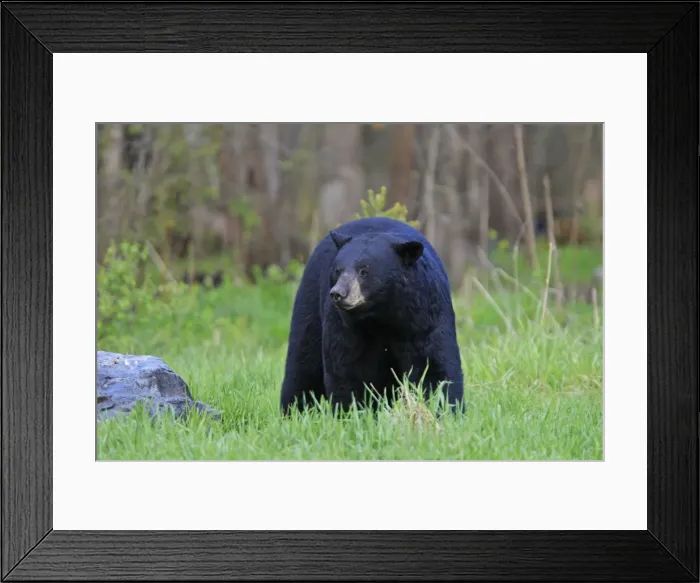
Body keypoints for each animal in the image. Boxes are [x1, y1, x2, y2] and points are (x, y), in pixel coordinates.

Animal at [279, 216, 464, 415]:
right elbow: (346, 369)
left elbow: (434, 366)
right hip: (310, 301)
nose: (338, 293)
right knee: (303, 362)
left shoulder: (424, 317)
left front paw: (445, 410)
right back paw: (293, 411)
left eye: (364, 271)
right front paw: (351, 413)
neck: (380, 315)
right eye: (338, 270)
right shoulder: (344, 325)